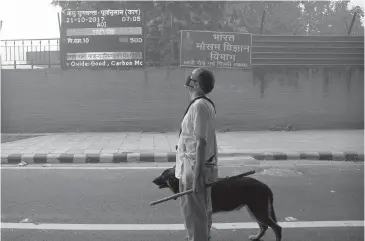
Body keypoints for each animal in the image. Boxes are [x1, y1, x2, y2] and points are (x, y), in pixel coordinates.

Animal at [151, 167, 282, 240]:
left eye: (163, 175)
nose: (153, 180)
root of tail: (265, 186)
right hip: (253, 210)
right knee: (264, 226)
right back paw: (256, 237)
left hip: (258, 210)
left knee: (277, 228)